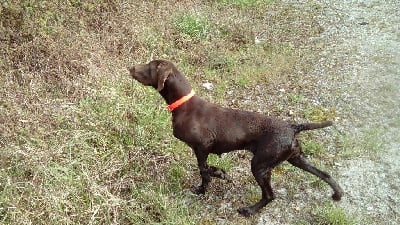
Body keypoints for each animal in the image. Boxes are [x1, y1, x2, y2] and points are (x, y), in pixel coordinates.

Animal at [129, 59, 344, 216]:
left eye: (150, 66)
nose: (130, 67)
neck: (183, 105)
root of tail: (292, 127)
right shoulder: (202, 149)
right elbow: (206, 169)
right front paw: (218, 174)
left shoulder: (203, 146)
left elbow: (204, 170)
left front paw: (209, 183)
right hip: (295, 158)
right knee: (325, 174)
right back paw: (337, 194)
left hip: (260, 165)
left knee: (270, 195)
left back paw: (249, 210)